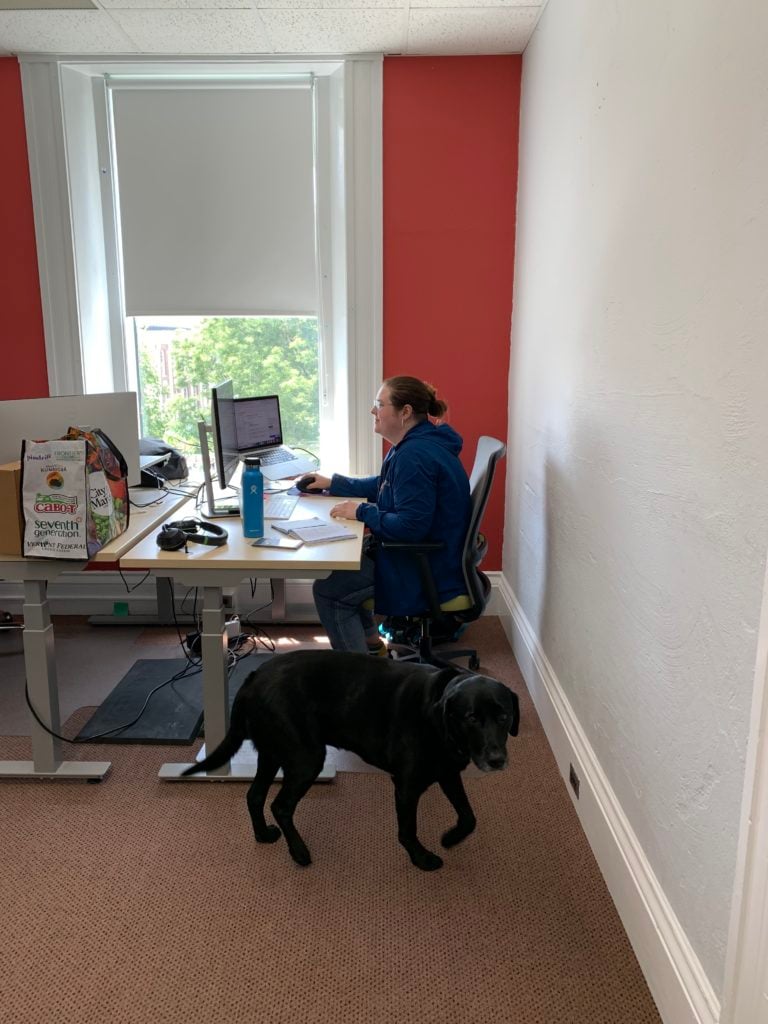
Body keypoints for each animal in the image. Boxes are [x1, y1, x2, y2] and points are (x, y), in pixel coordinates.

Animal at [182, 651, 520, 868]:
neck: (439, 721)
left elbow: (469, 816)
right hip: (306, 758)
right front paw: (421, 858)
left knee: (254, 796)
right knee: (280, 806)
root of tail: (253, 677)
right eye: (472, 718)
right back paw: (299, 853)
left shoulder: (448, 772)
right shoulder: (407, 786)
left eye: (504, 716)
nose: (496, 759)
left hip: (272, 753)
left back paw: (264, 835)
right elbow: (407, 829)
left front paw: (450, 838)